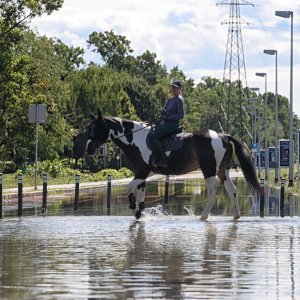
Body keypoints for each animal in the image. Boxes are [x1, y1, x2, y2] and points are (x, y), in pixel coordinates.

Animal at [86, 109, 262, 219]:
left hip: (209, 170)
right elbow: (140, 193)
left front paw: (134, 208)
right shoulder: (141, 174)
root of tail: (223, 135)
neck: (136, 139)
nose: (88, 149)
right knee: (232, 190)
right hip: (222, 170)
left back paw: (203, 216)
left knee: (213, 192)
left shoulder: (142, 172)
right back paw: (236, 215)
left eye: (96, 128)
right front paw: (139, 210)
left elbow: (130, 188)